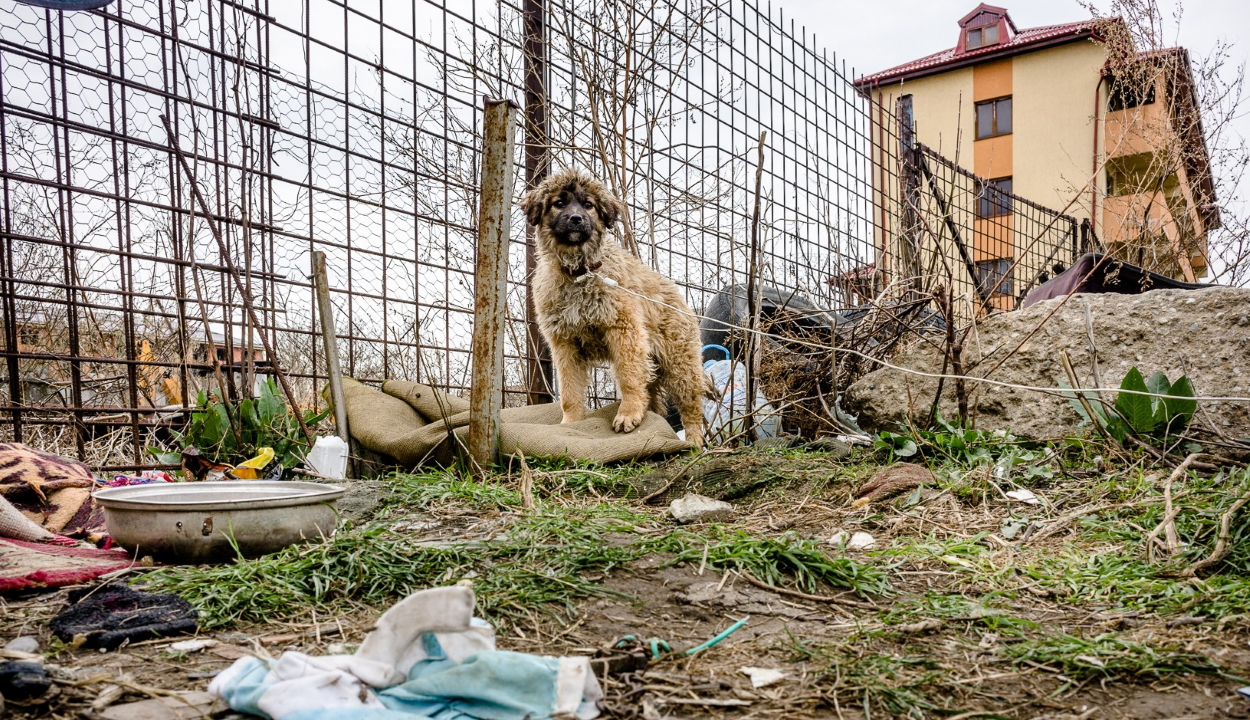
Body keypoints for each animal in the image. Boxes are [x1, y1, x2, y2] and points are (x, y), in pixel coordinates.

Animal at [522, 170, 710, 445]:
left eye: (588, 204)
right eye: (559, 203)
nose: (576, 219)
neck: (580, 272)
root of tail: (676, 293)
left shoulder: (624, 330)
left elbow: (629, 376)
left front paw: (627, 414)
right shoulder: (564, 343)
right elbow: (569, 391)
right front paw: (571, 424)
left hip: (680, 363)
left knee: (691, 405)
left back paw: (694, 441)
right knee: (652, 394)